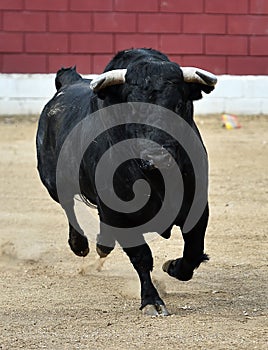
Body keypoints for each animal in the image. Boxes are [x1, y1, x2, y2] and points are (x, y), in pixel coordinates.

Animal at [36, 48, 217, 314]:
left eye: (179, 104)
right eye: (132, 107)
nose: (156, 156)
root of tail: (67, 83)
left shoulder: (197, 205)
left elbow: (193, 251)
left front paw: (172, 266)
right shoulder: (122, 216)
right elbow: (141, 257)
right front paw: (151, 300)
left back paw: (102, 244)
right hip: (53, 181)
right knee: (68, 205)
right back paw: (80, 245)